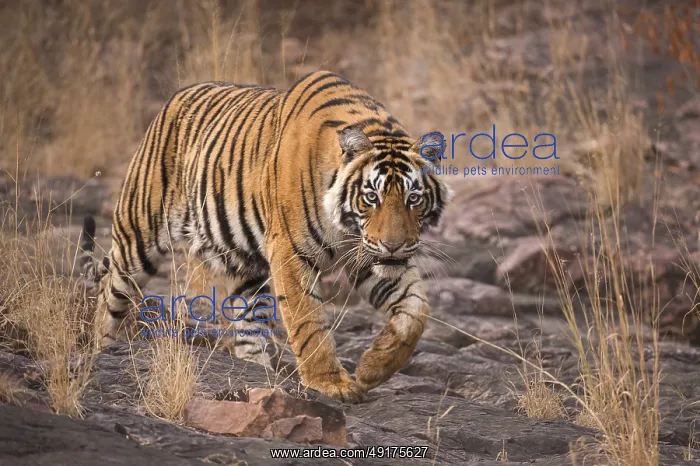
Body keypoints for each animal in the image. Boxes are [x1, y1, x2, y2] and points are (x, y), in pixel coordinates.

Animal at [78, 71, 451, 403]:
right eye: (371, 197)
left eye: (413, 198)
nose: (394, 245)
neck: (347, 228)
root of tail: (173, 98)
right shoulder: (292, 253)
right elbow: (308, 322)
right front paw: (331, 384)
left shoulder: (368, 256)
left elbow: (416, 310)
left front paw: (373, 366)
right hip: (138, 237)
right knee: (111, 294)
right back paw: (104, 351)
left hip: (243, 261)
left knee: (245, 317)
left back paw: (258, 374)